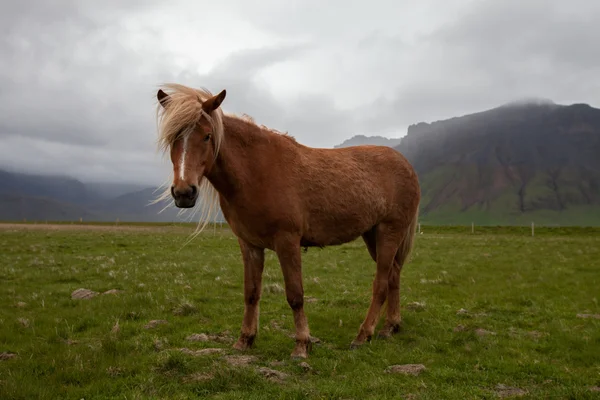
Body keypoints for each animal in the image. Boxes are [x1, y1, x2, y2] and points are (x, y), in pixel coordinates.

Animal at [154, 83, 422, 358]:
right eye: (172, 138)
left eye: (207, 136)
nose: (184, 193)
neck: (256, 171)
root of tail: (406, 165)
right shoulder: (249, 245)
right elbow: (251, 293)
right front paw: (245, 339)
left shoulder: (287, 241)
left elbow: (295, 295)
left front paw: (302, 344)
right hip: (372, 234)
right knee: (394, 275)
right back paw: (390, 327)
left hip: (389, 232)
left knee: (381, 283)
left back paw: (363, 335)